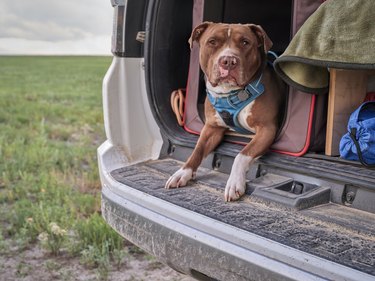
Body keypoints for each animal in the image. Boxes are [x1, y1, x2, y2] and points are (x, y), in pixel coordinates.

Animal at [166, 22, 286, 201]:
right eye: (212, 42)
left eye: (245, 42)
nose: (229, 61)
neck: (230, 92)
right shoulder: (212, 128)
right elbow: (197, 150)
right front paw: (183, 172)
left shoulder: (267, 129)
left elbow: (241, 155)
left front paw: (234, 182)